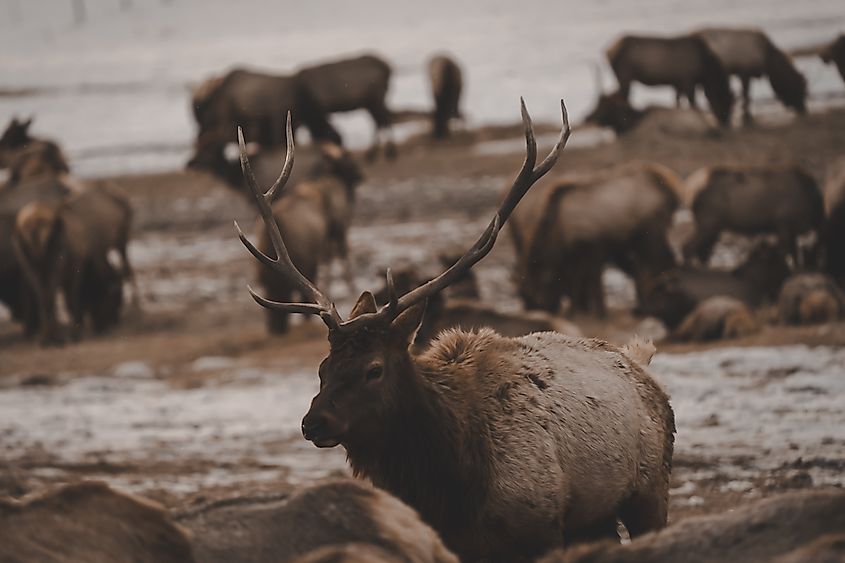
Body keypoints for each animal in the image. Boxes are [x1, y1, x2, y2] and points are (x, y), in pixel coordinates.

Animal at [233, 101, 675, 562]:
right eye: (322, 368)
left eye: (375, 369)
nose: (313, 422)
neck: (450, 486)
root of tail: (639, 361)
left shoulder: (540, 527)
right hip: (595, 516)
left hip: (649, 489)